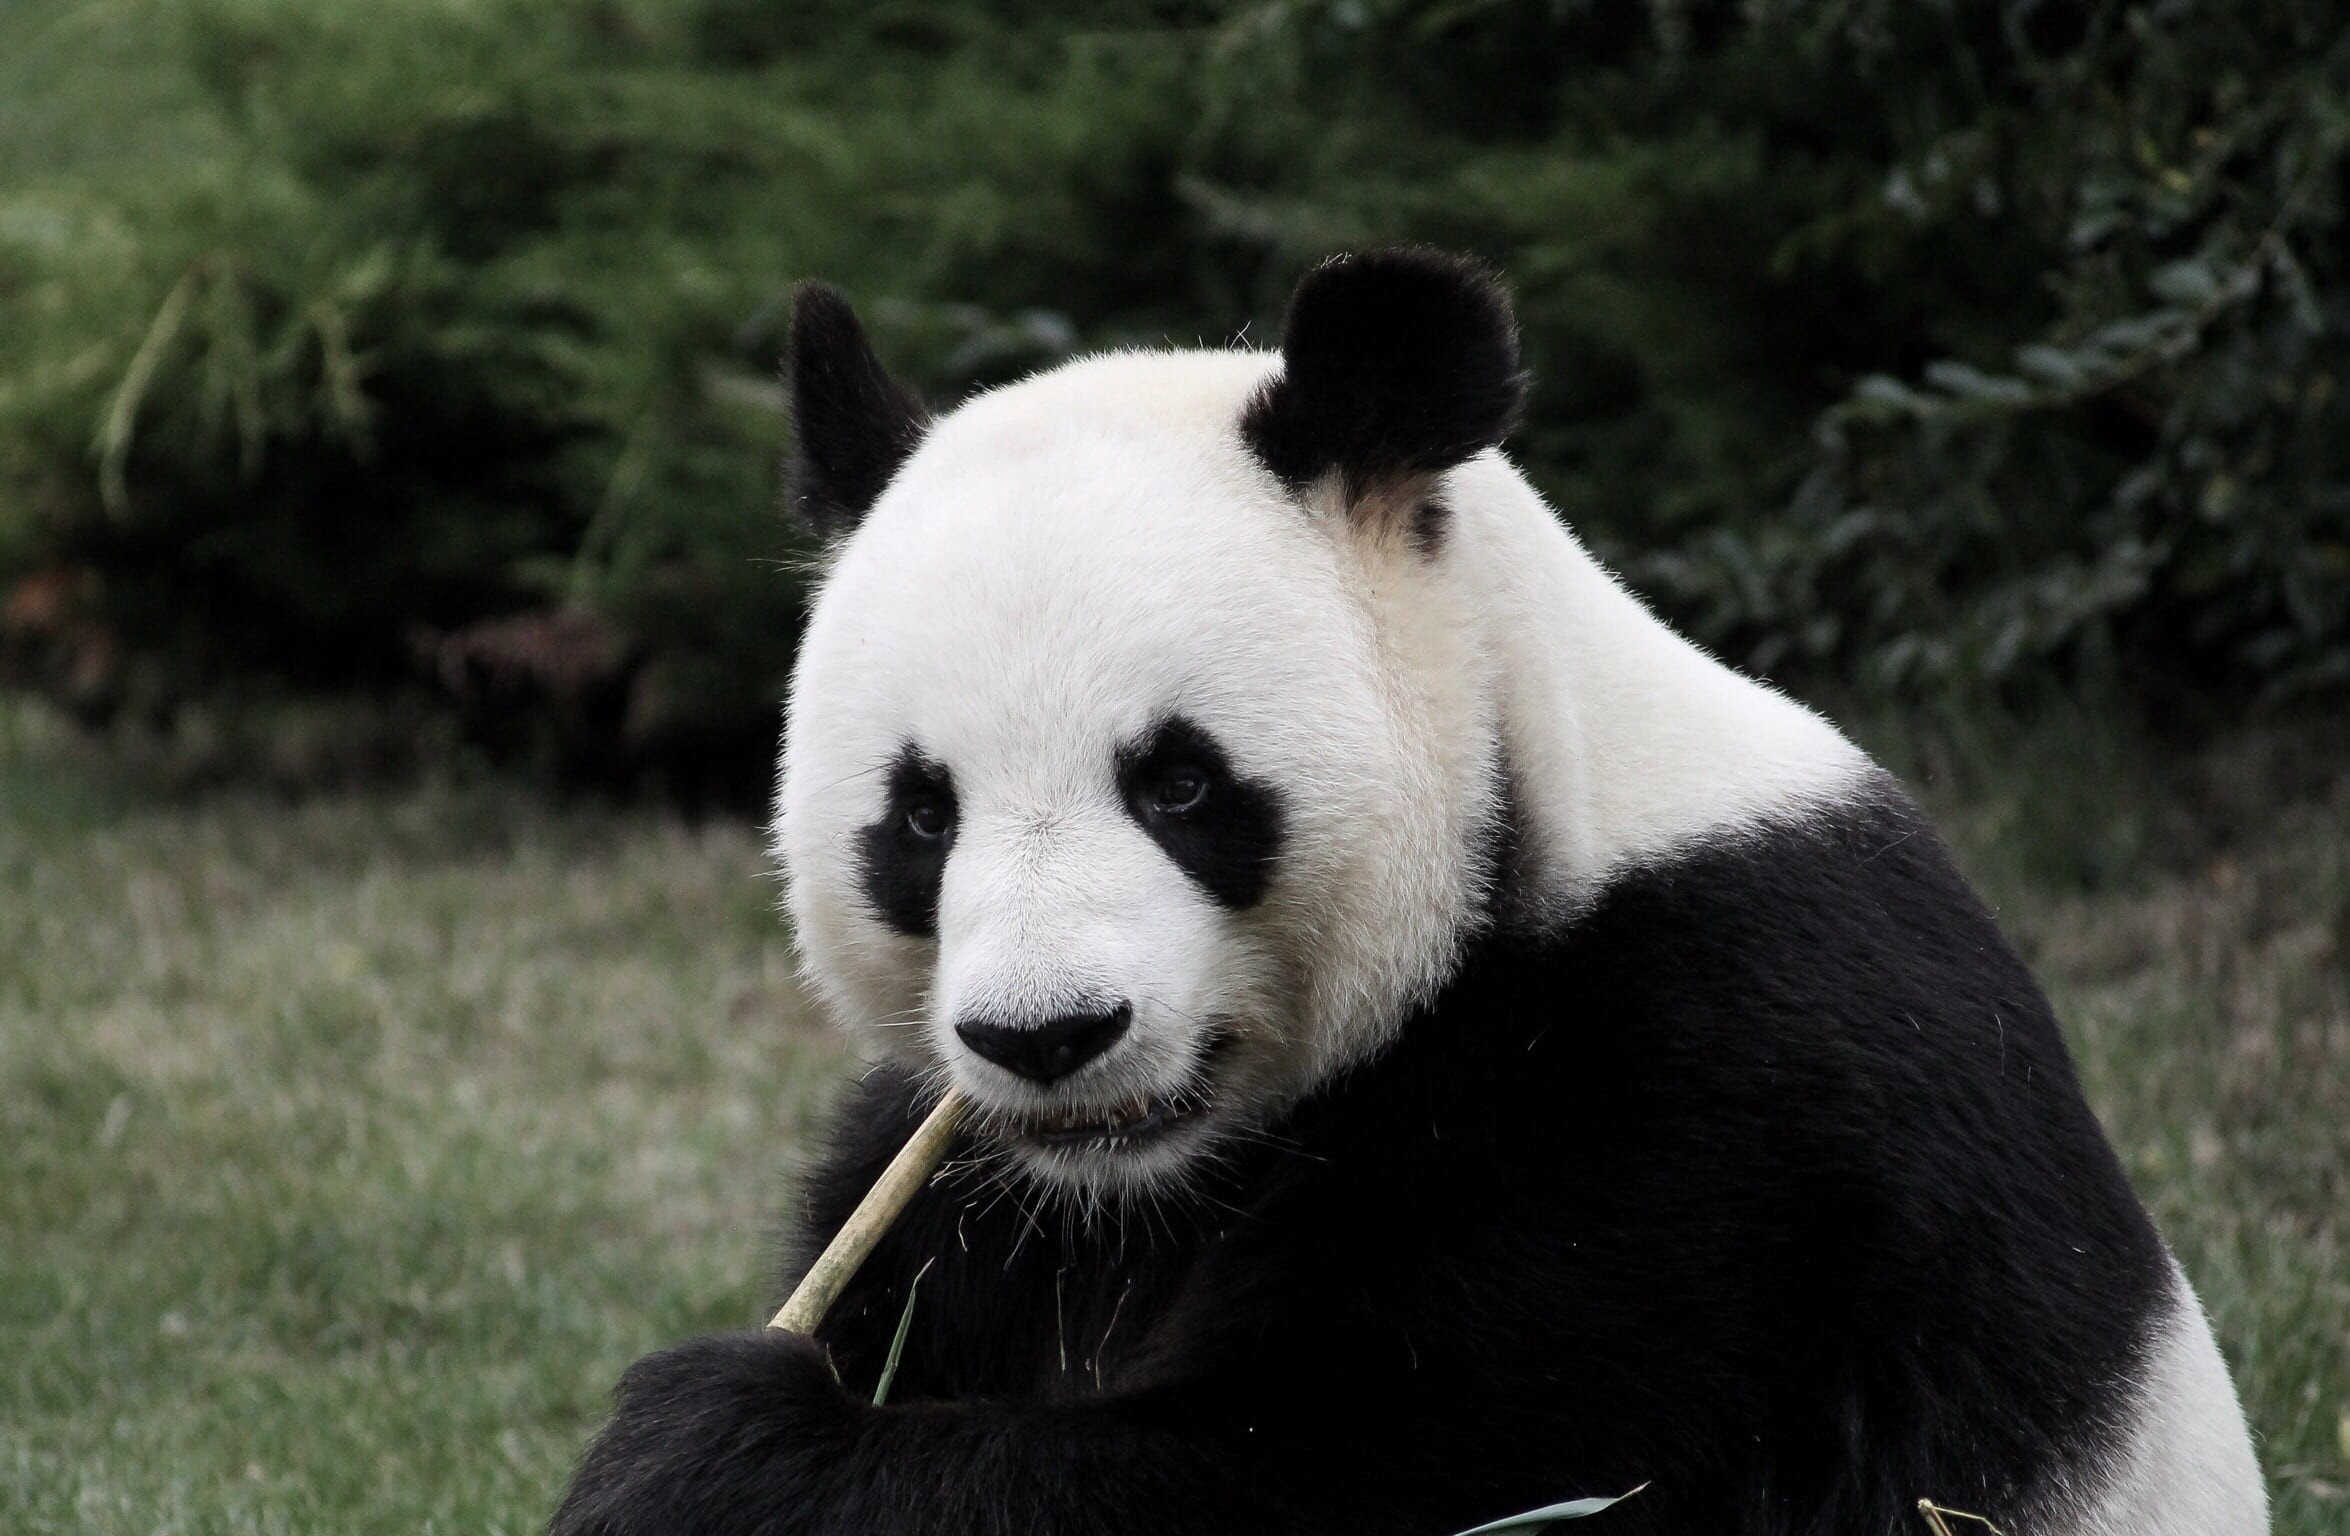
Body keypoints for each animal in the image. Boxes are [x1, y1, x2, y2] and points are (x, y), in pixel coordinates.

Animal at [551, 251, 2268, 1536]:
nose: (1049, 1037)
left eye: (1179, 785)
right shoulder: (972, 1185)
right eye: (920, 816)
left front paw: (704, 1452)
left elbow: (1370, 1472)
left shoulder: (1702, 1109)